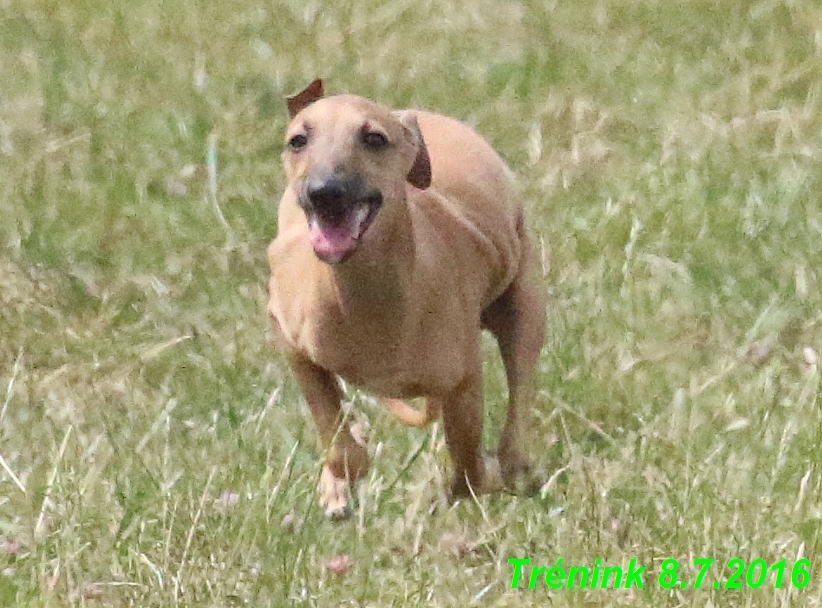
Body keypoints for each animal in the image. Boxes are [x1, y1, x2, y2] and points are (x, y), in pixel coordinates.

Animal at [268, 81, 548, 516]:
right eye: (298, 140)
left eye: (374, 138)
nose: (323, 193)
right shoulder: (291, 339)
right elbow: (337, 436)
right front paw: (338, 485)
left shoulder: (462, 376)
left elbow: (467, 463)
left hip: (525, 303)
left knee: (516, 406)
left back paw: (516, 469)